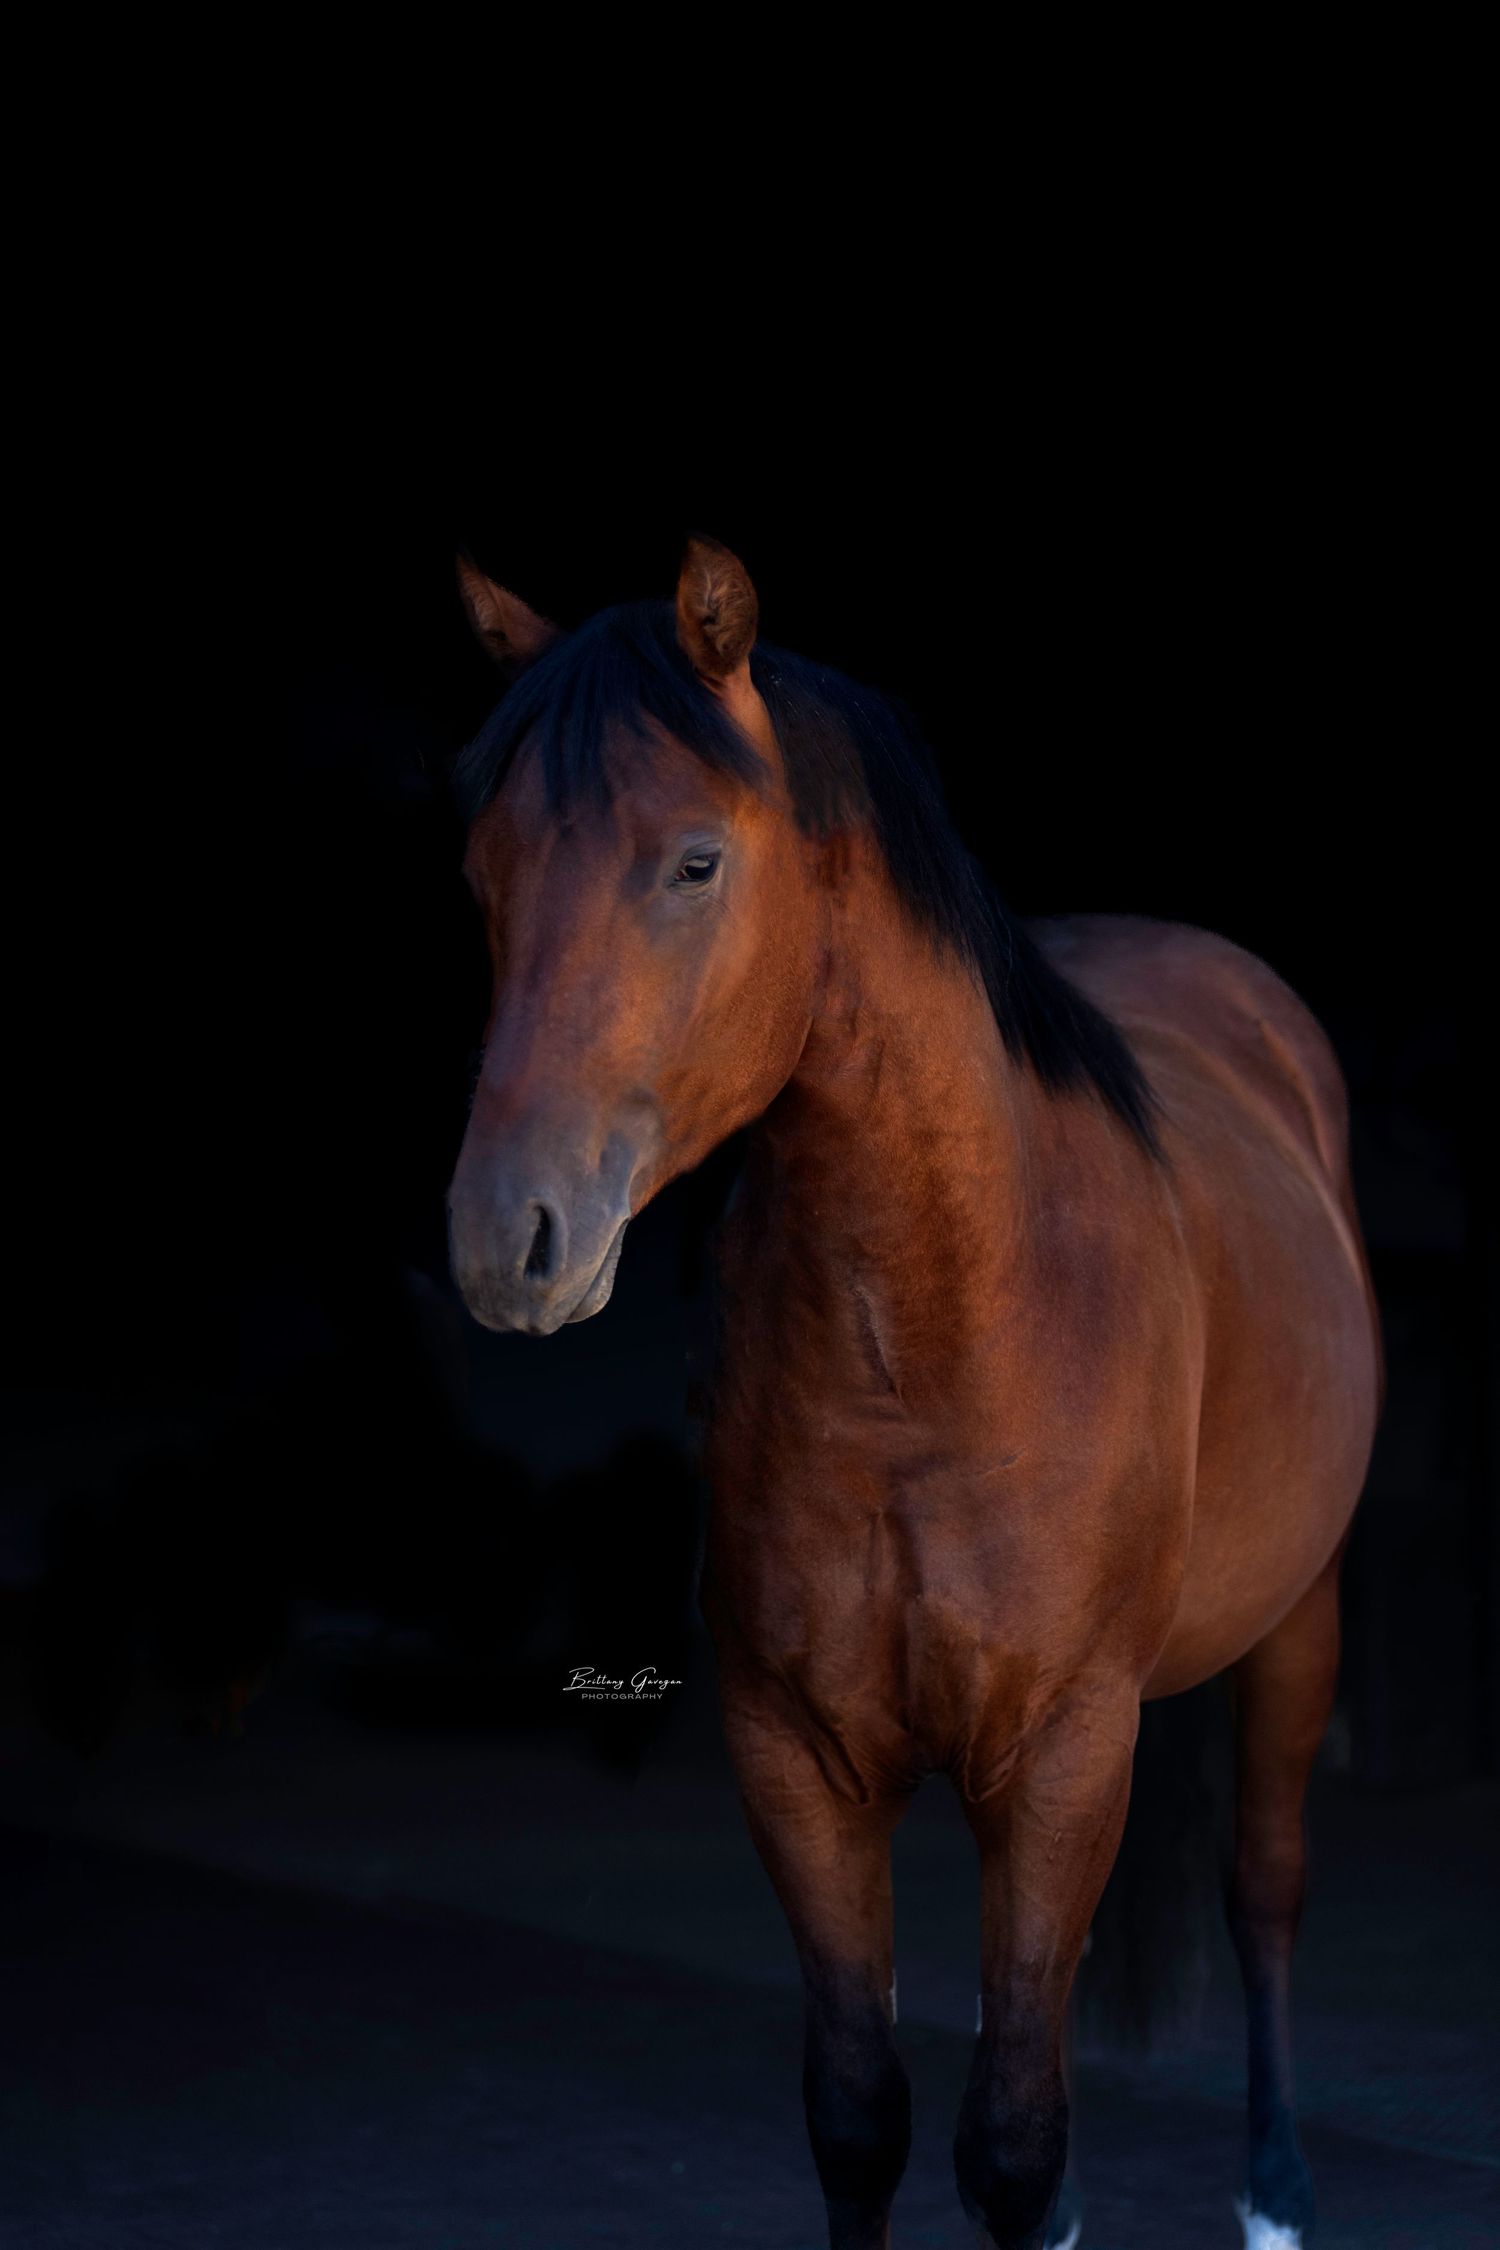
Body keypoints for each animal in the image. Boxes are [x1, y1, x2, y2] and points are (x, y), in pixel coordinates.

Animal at [445, 536, 1380, 2250]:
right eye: (485, 870)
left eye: (694, 862)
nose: (505, 1237)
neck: (933, 1351)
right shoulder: (796, 1755)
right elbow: (861, 2114)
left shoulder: (1066, 1747)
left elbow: (1005, 2133)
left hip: (1298, 1617)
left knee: (1266, 1884)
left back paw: (1277, 2191)